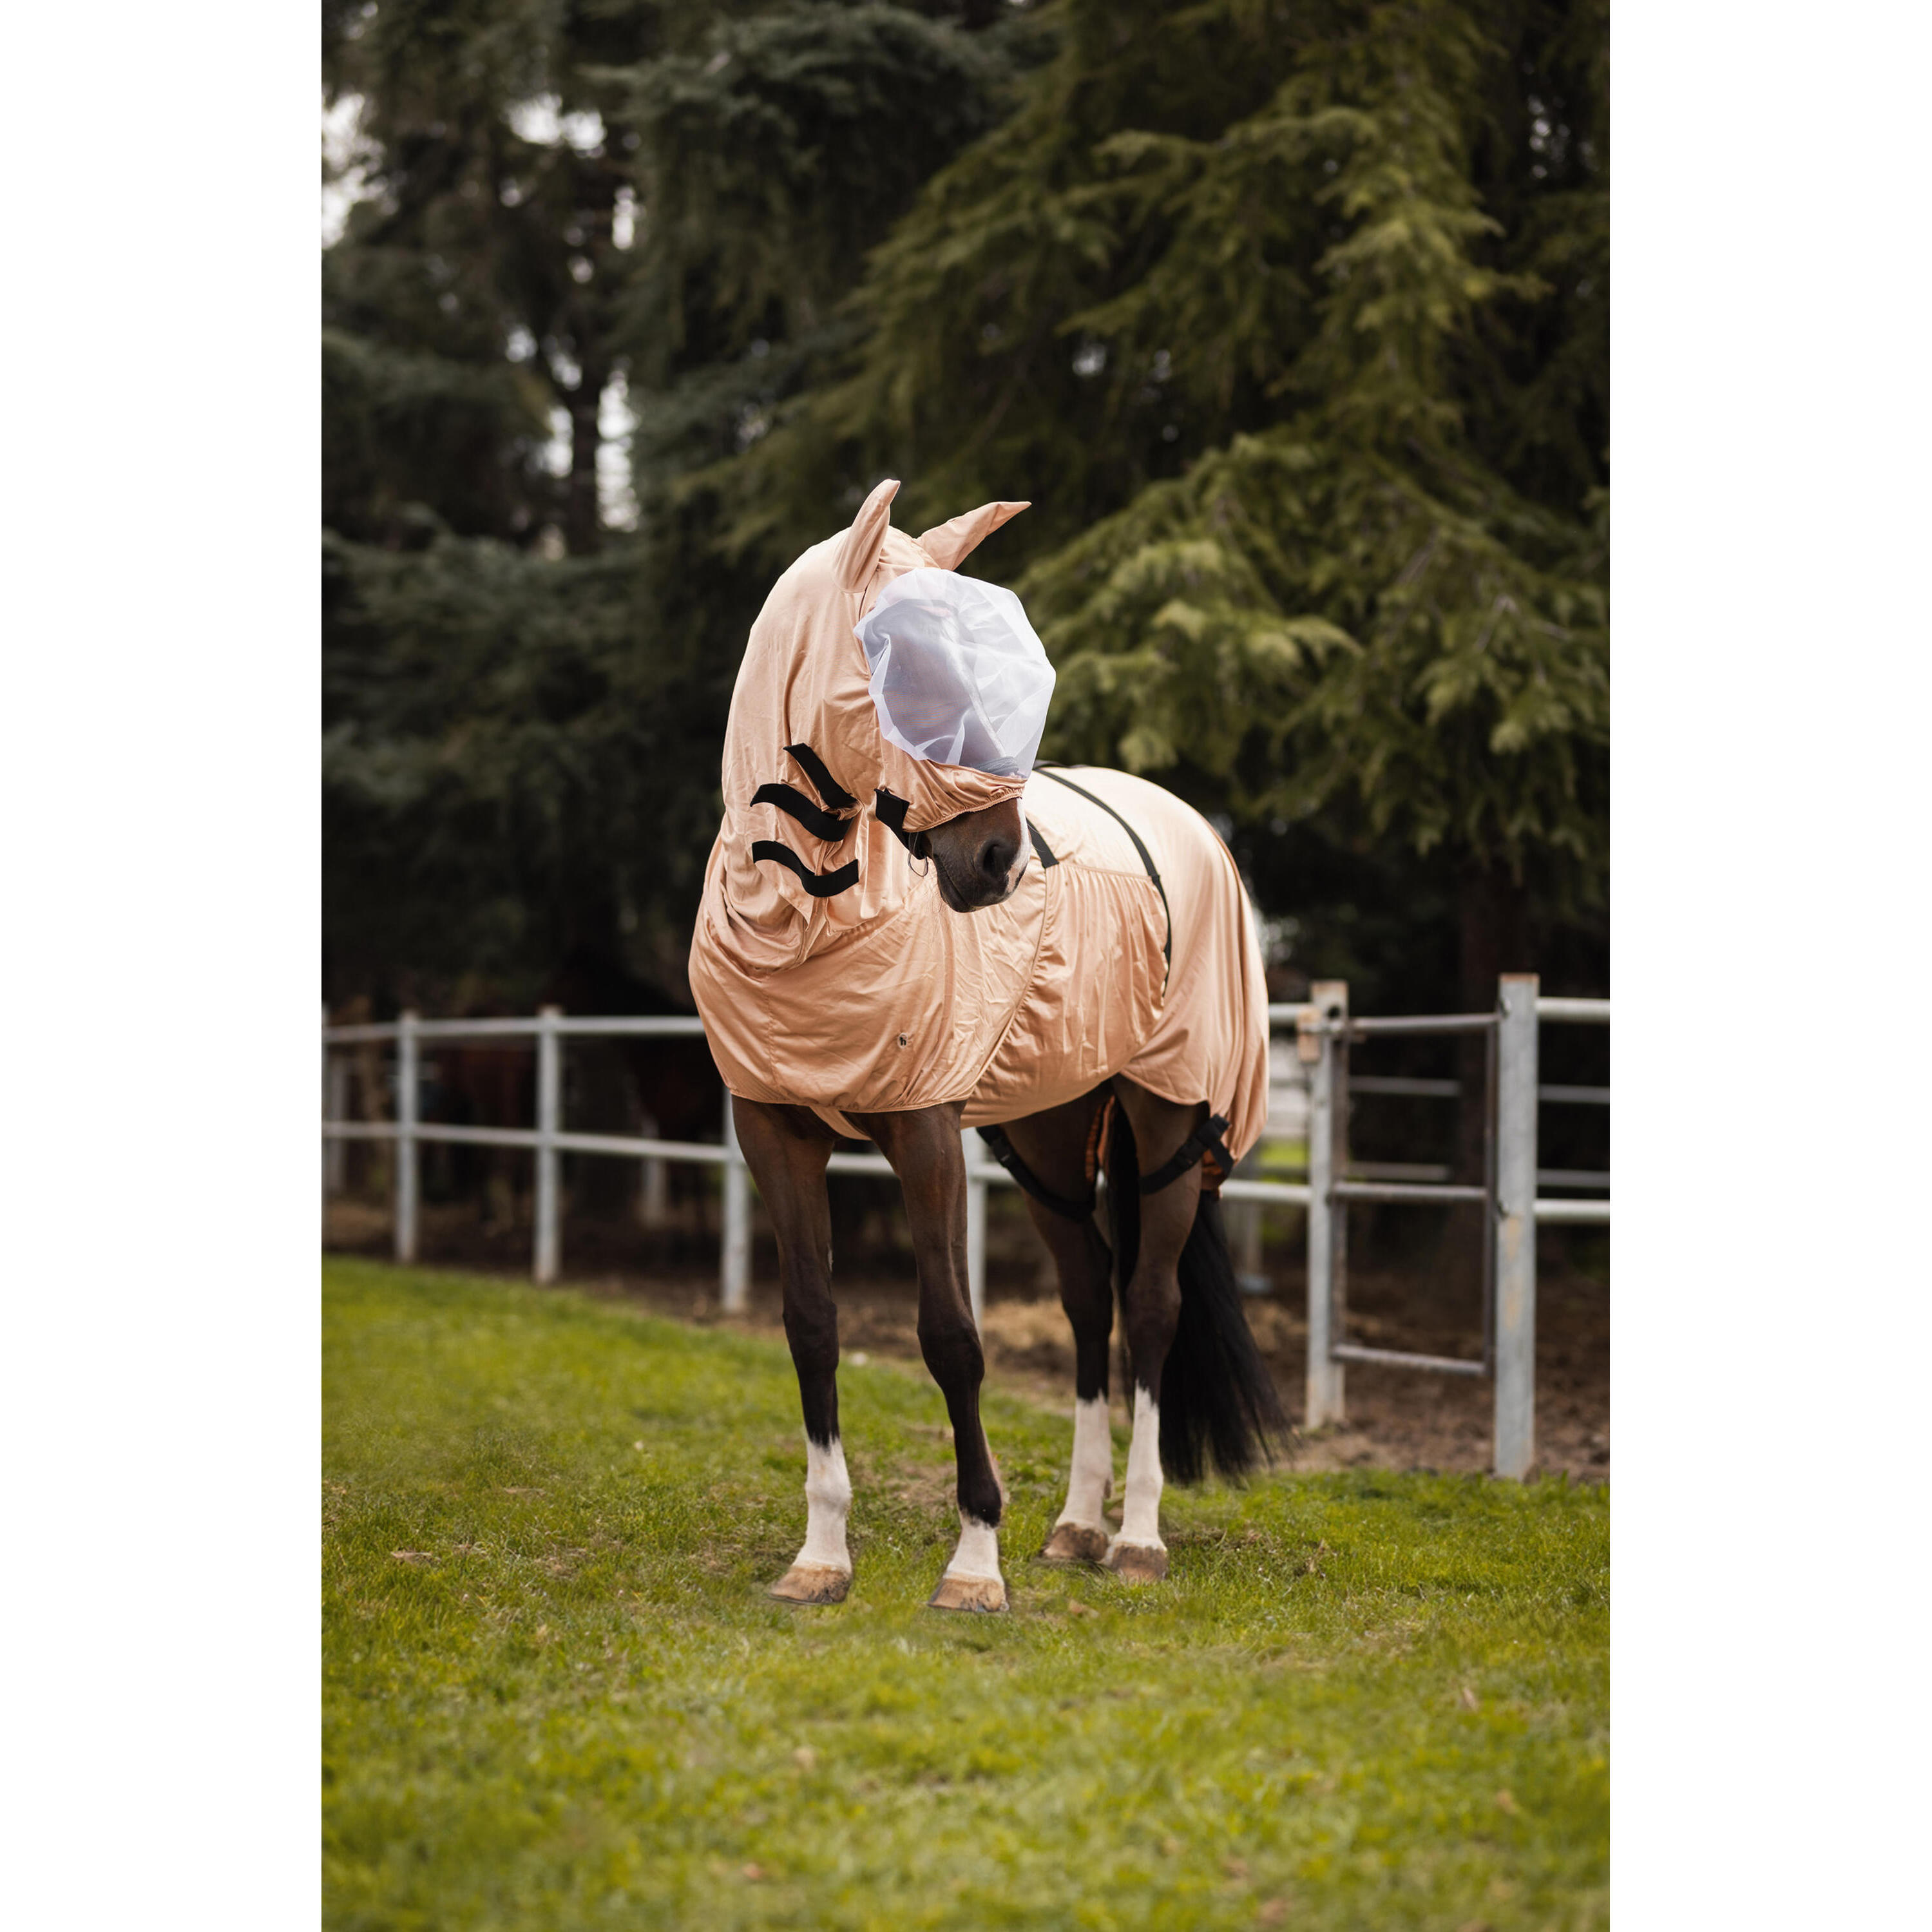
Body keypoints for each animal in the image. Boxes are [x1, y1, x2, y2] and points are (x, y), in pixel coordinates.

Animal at [690, 480, 1287, 1611]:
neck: (808, 920)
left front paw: (972, 1562)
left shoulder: (925, 1131)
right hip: (1048, 1135)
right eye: (913, 669)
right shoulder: (771, 1129)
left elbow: (950, 1335)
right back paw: (1074, 1525)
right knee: (1089, 1298)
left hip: (1167, 1111)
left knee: (1149, 1307)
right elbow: (810, 1322)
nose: (1000, 860)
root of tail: (1188, 821)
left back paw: (1135, 1538)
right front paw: (820, 1555)